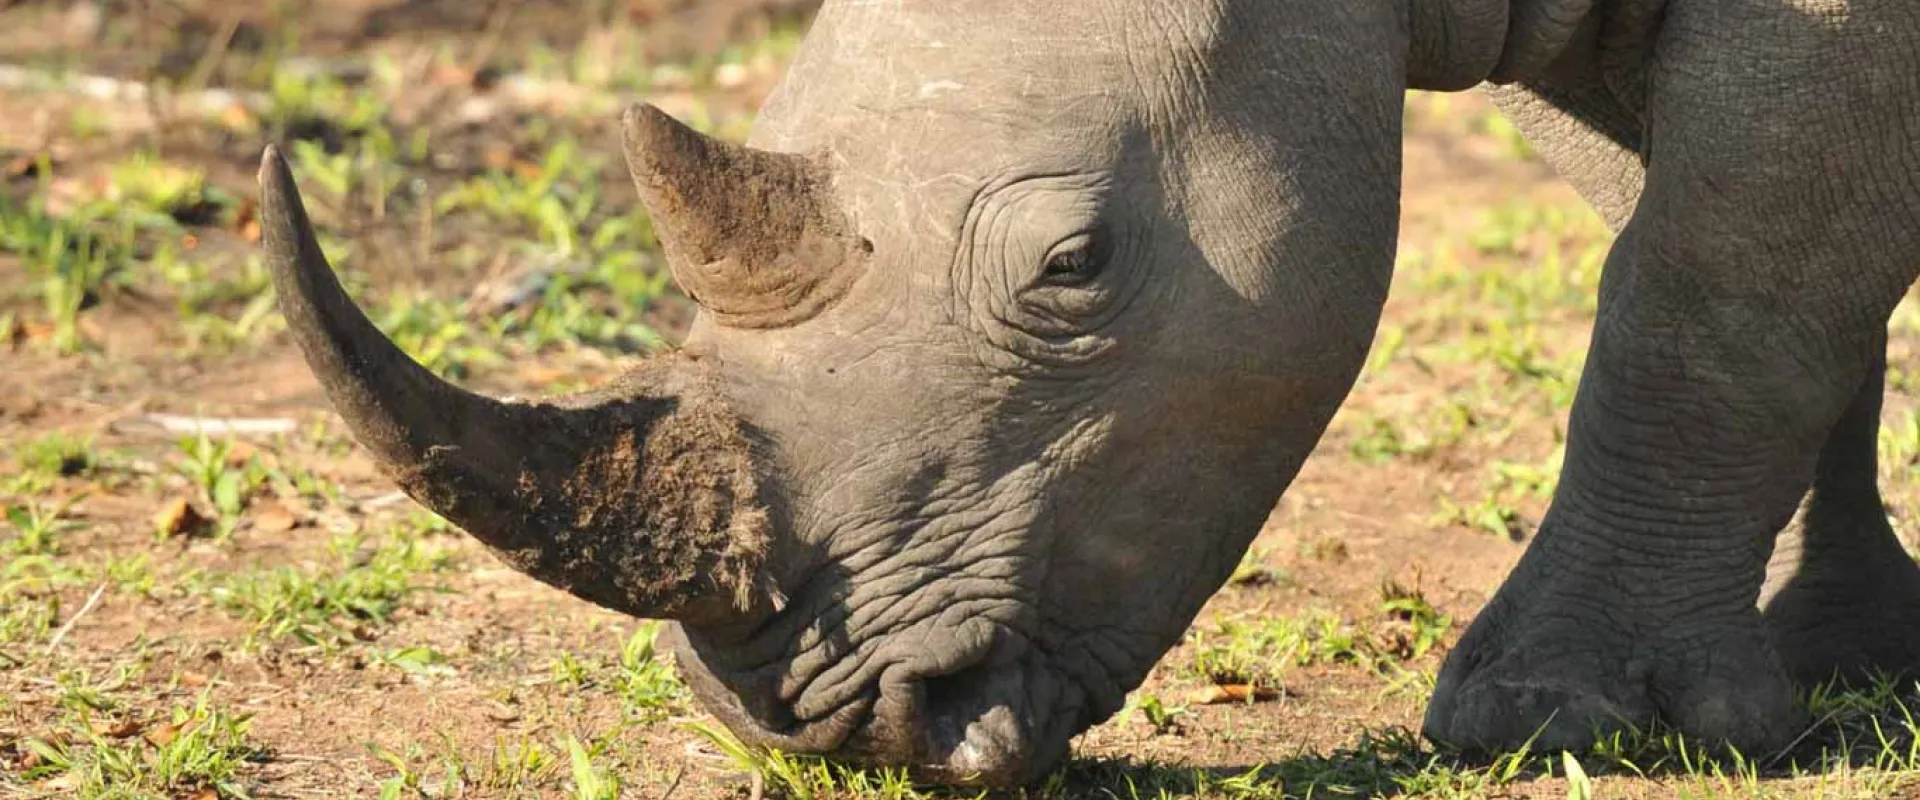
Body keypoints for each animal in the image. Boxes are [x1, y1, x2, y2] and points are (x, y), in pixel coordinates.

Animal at [258, 0, 1920, 786]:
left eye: (1073, 264)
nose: (821, 725)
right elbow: (1712, 238)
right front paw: (1833, 657)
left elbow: (1705, 290)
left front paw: (1550, 718)